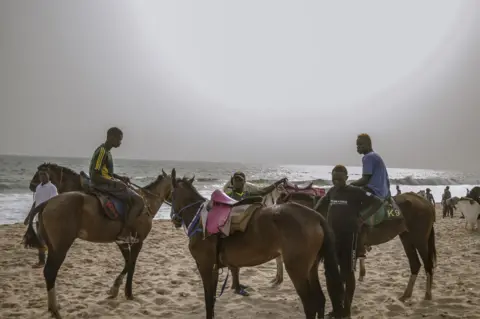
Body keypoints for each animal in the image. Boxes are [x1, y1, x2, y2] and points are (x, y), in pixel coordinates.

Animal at [23, 165, 172, 319]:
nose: (32, 185)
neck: (146, 202)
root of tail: (47, 202)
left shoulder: (122, 242)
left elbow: (127, 263)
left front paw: (115, 289)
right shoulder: (138, 241)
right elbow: (131, 264)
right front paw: (128, 293)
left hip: (53, 246)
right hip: (60, 248)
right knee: (50, 272)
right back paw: (55, 310)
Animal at [169, 169, 344, 318]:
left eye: (171, 194)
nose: (175, 219)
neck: (200, 219)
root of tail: (315, 216)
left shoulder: (204, 266)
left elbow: (208, 301)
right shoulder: (213, 268)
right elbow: (211, 301)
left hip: (297, 270)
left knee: (310, 305)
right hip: (311, 267)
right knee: (320, 300)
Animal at [276, 190, 436, 302]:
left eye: (278, 209)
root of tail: (425, 203)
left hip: (420, 239)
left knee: (427, 264)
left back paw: (428, 294)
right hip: (406, 237)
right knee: (415, 264)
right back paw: (406, 294)